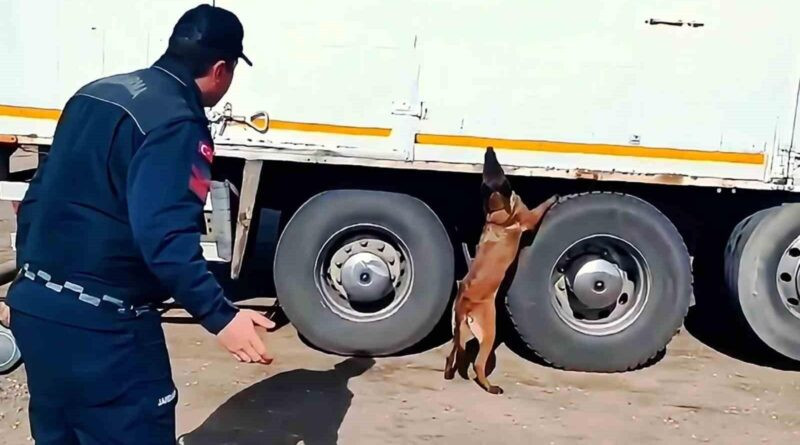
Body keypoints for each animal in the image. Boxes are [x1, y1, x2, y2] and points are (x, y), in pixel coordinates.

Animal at [444, 146, 556, 392]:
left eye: (490, 167)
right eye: (497, 169)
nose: (489, 148)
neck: (496, 212)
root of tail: (464, 305)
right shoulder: (529, 218)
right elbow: (541, 208)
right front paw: (553, 197)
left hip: (460, 333)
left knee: (453, 355)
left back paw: (451, 372)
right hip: (489, 332)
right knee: (478, 364)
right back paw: (490, 386)